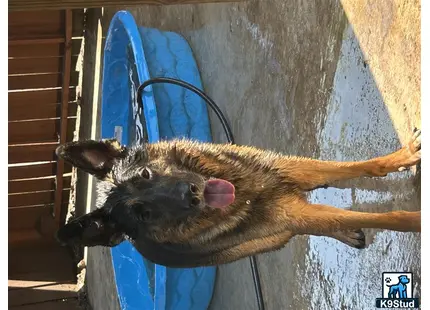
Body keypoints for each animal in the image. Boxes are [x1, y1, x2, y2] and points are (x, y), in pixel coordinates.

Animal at [55, 130, 422, 268]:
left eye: (145, 175)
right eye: (143, 214)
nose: (192, 194)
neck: (245, 194)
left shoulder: (293, 169)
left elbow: (357, 167)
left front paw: (400, 157)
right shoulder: (295, 213)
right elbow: (387, 217)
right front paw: (417, 220)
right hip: (266, 240)